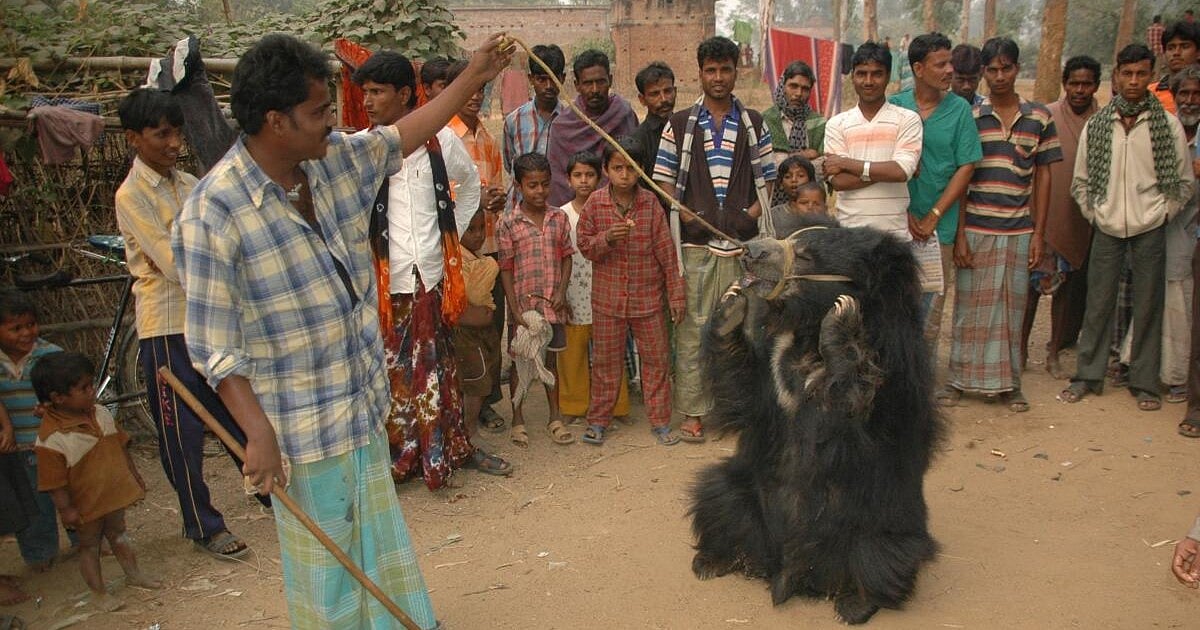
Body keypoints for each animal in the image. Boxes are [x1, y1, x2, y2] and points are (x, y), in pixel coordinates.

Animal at [688, 216, 945, 625]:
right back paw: (716, 560)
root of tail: (790, 569)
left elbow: (851, 427)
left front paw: (840, 321)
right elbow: (746, 394)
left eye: (807, 256)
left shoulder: (894, 369)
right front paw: (729, 307)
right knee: (716, 496)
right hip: (740, 491)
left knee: (882, 558)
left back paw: (856, 604)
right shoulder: (772, 365)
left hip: (881, 529)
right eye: (782, 239)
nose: (750, 250)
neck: (805, 328)